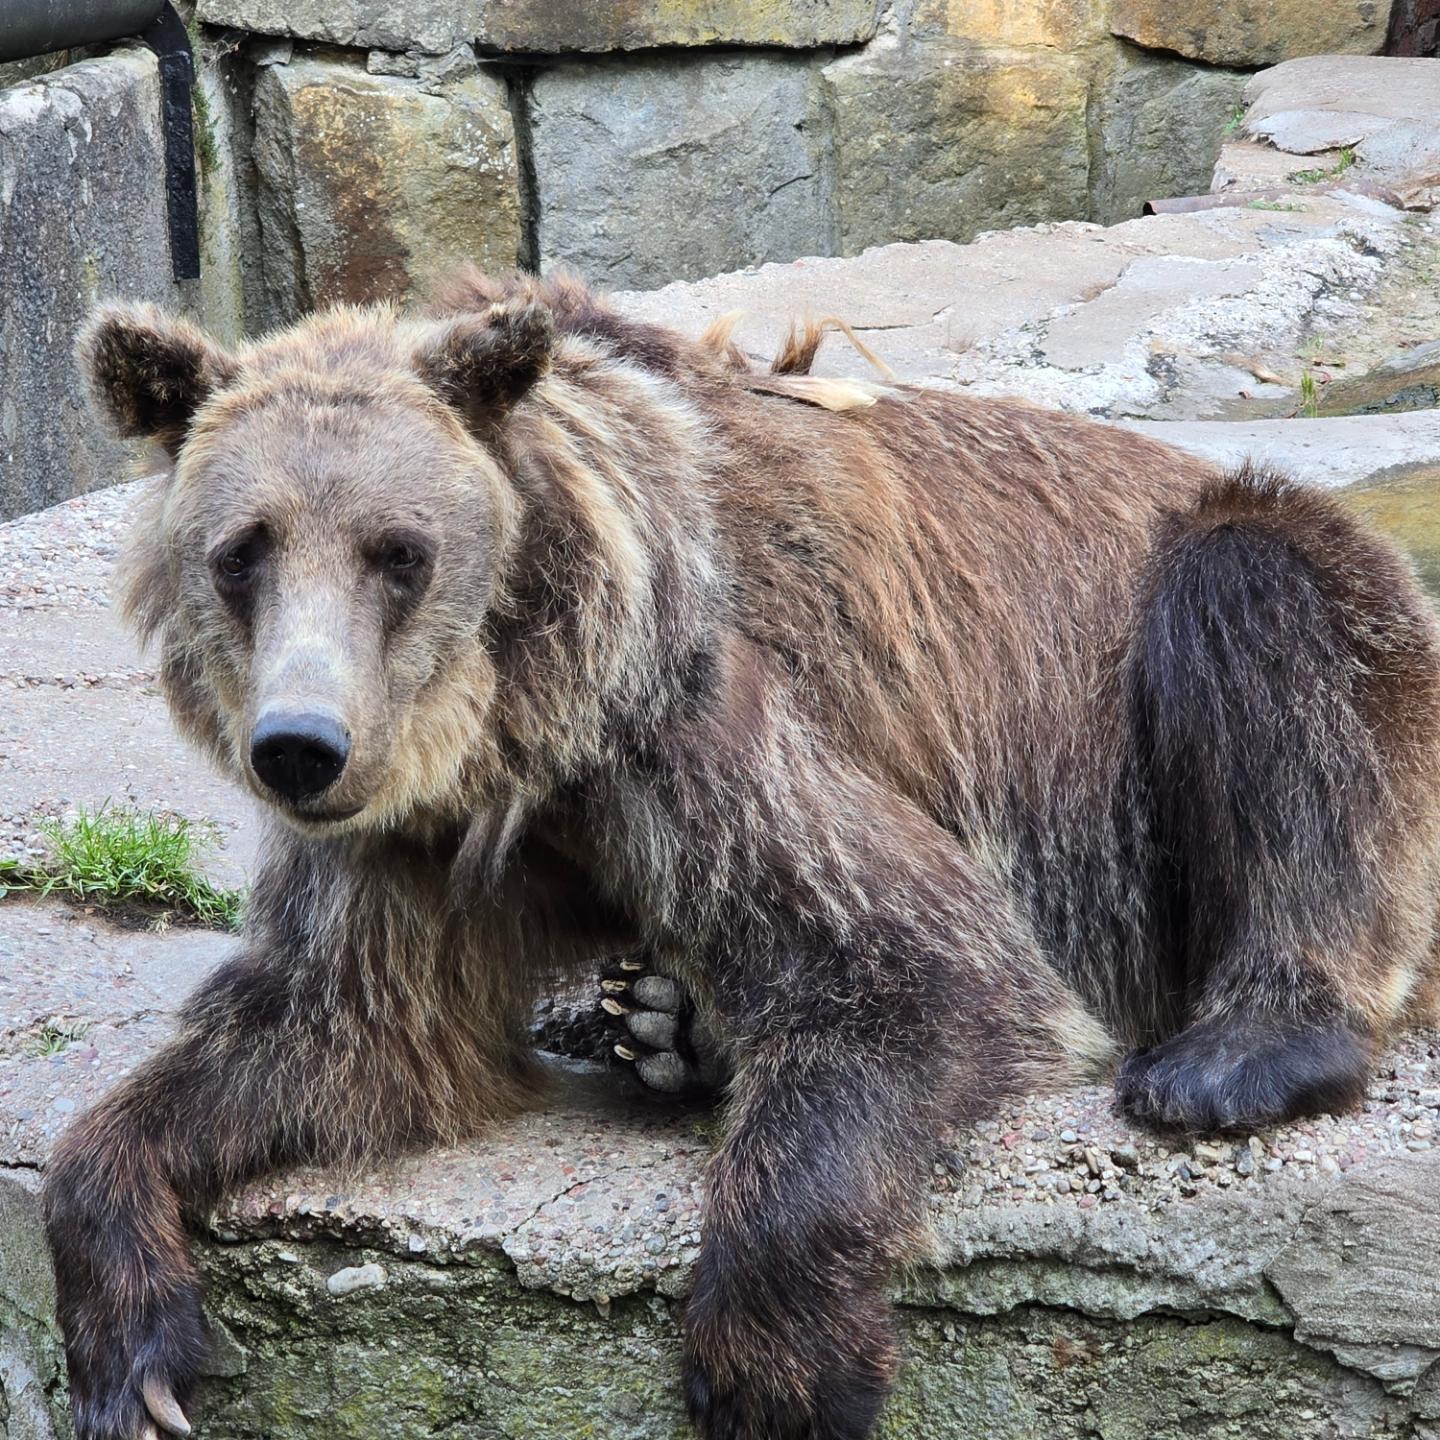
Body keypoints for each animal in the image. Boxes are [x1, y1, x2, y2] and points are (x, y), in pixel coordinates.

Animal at [45, 272, 1440, 1440]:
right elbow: (340, 1030)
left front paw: (775, 1370)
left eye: (400, 550)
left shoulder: (700, 725)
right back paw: (666, 1021)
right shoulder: (405, 841)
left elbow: (915, 966)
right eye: (242, 551)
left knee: (1269, 625)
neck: (521, 729)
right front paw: (132, 1340)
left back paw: (1237, 1054)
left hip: (1225, 662)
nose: (301, 746)